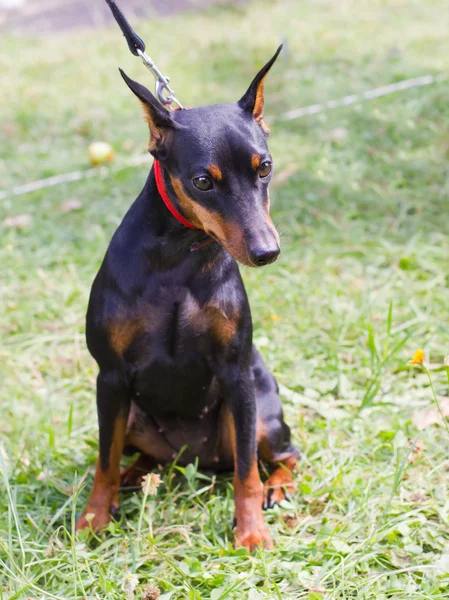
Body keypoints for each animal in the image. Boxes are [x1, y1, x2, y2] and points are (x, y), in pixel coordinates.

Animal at [76, 45, 300, 548]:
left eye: (265, 167)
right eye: (202, 182)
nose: (267, 252)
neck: (178, 257)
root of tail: (196, 459)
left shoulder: (236, 375)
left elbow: (247, 473)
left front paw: (251, 532)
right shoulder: (110, 377)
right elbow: (104, 459)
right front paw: (94, 518)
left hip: (260, 410)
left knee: (282, 455)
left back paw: (278, 488)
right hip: (132, 416)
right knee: (136, 455)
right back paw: (133, 477)